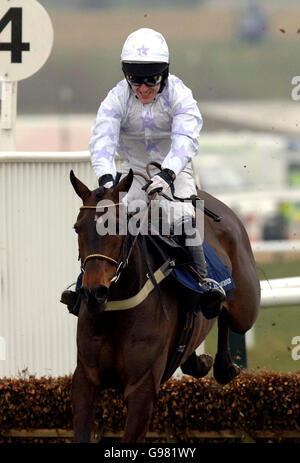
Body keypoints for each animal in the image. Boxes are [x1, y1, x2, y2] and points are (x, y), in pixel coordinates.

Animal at [69, 169, 258, 442]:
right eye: (77, 228)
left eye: (117, 226)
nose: (94, 293)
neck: (117, 311)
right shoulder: (86, 378)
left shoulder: (142, 387)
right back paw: (199, 362)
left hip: (246, 308)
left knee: (227, 317)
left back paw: (223, 363)